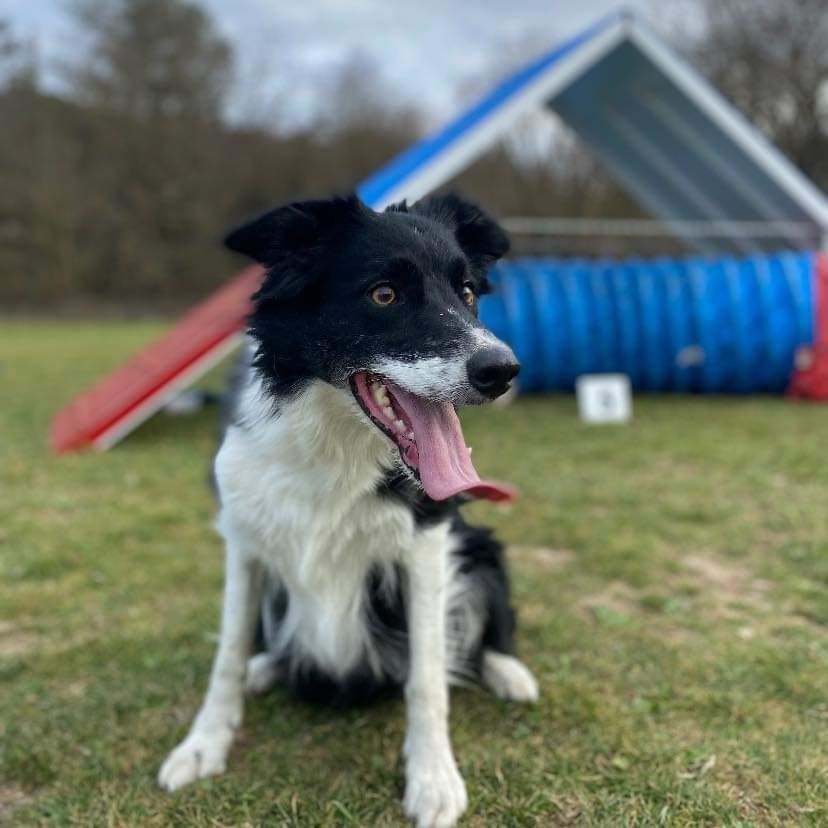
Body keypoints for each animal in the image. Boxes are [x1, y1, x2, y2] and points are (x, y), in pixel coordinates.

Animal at [158, 192, 540, 828]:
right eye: (383, 294)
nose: (503, 371)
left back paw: (509, 672)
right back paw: (267, 669)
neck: (335, 445)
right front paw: (203, 745)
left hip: (481, 544)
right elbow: (228, 653)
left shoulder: (427, 545)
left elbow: (427, 678)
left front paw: (433, 778)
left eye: (467, 292)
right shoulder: (244, 542)